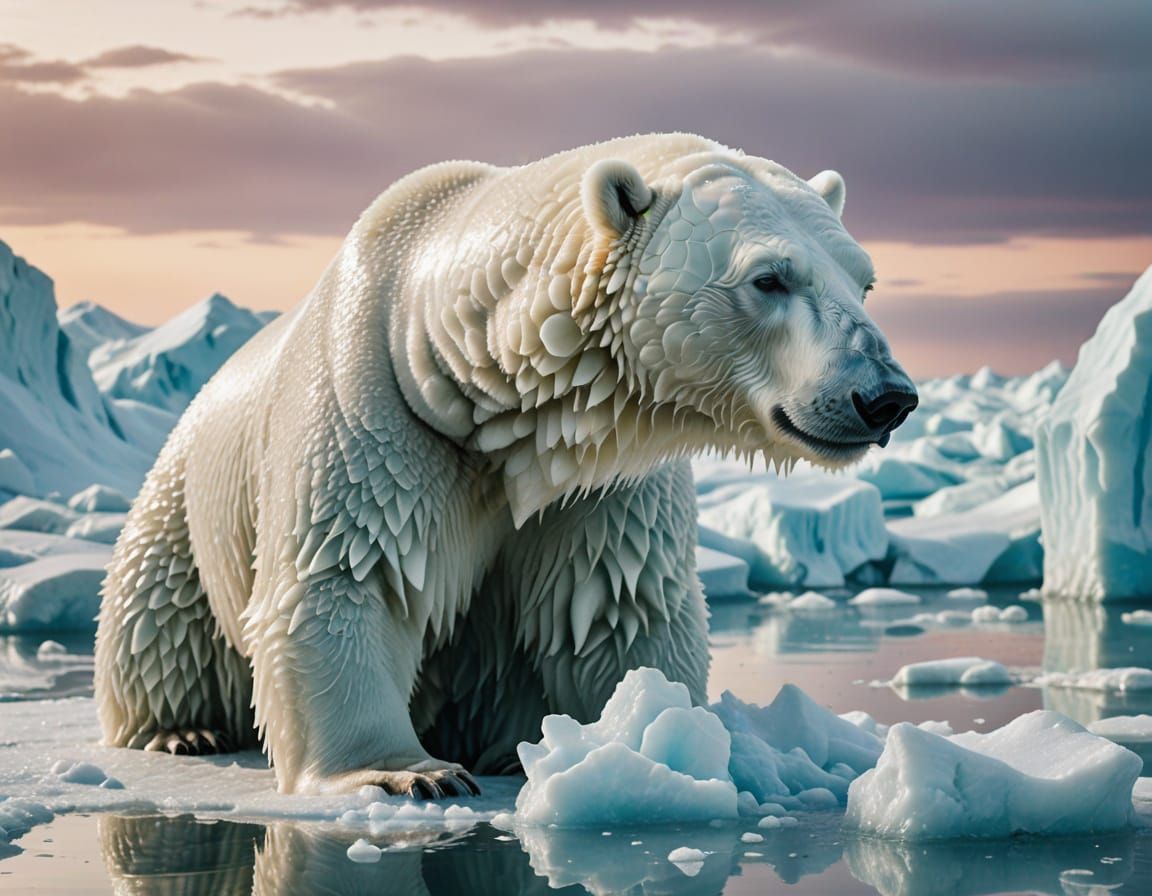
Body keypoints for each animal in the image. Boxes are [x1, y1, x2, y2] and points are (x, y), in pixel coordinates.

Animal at [94, 133, 917, 798]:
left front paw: (640, 742)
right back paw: (182, 730)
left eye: (864, 279)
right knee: (158, 612)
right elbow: (351, 573)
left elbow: (617, 605)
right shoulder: (376, 406)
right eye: (769, 279)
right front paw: (405, 774)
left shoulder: (600, 475)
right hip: (183, 498)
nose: (886, 396)